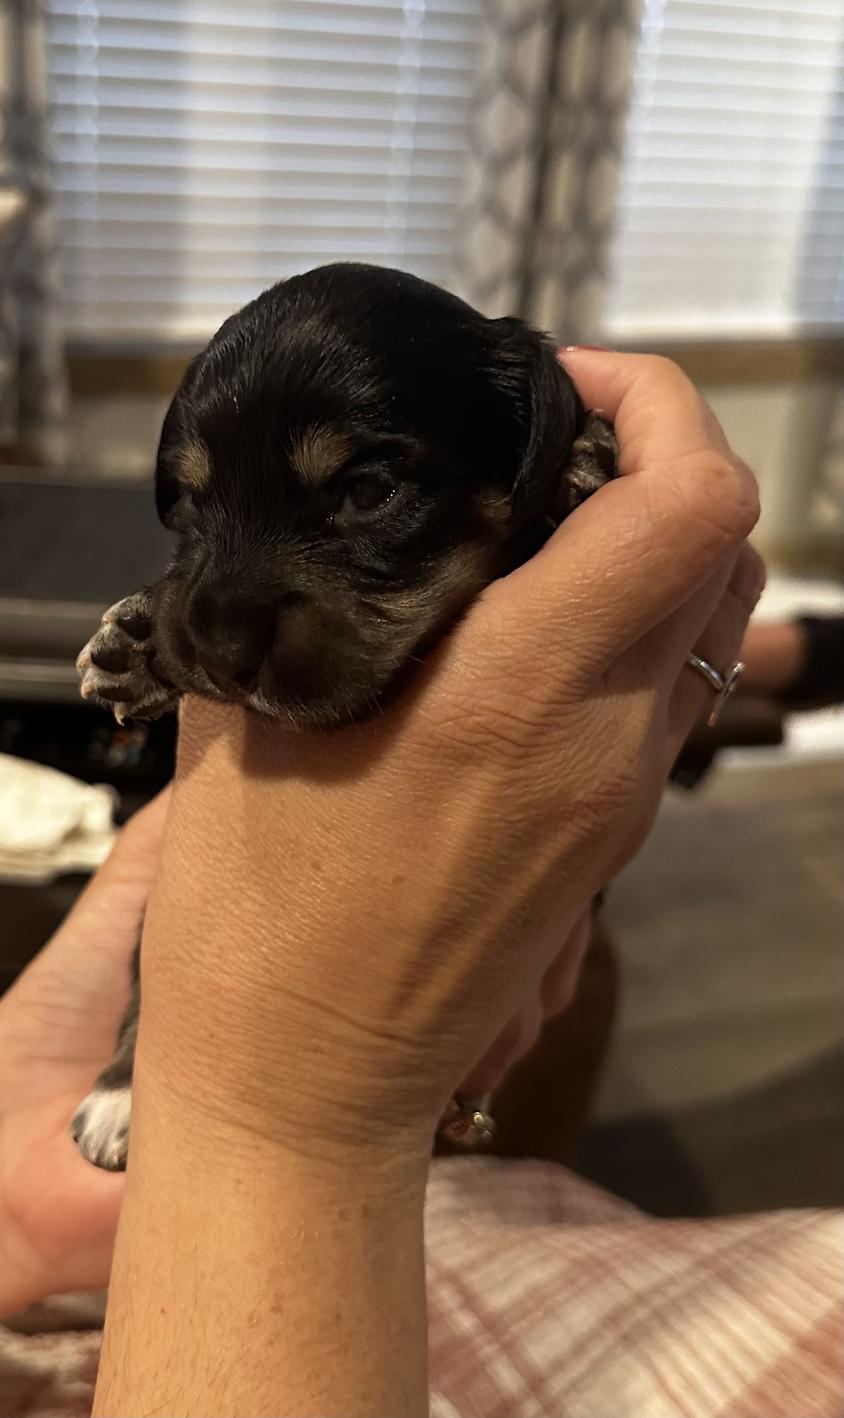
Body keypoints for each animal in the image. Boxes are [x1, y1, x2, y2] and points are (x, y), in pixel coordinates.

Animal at [72, 260, 618, 1168]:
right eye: (187, 505)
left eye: (368, 491)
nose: (222, 656)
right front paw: (138, 645)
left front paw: (579, 466)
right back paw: (116, 1095)